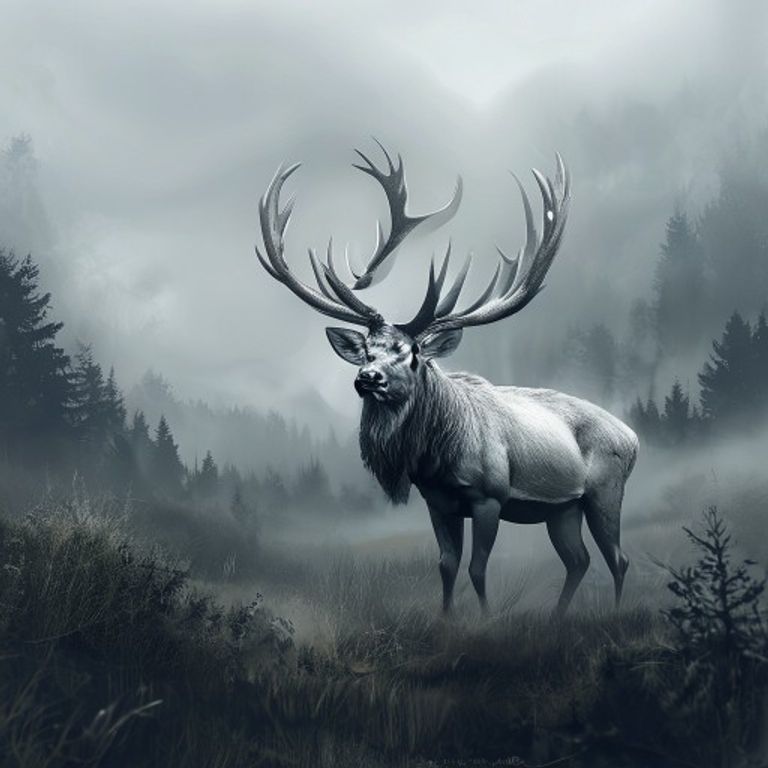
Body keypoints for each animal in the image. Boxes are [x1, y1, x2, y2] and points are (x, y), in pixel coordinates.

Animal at [253, 143, 639, 617]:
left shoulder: (490, 497)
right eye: (367, 350)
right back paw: (556, 618)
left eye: (413, 353)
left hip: (605, 490)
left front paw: (487, 620)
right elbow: (447, 565)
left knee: (618, 558)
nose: (368, 377)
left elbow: (477, 568)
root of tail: (633, 438)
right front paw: (446, 618)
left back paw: (615, 611)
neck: (436, 459)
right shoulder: (438, 502)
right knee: (579, 560)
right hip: (563, 508)